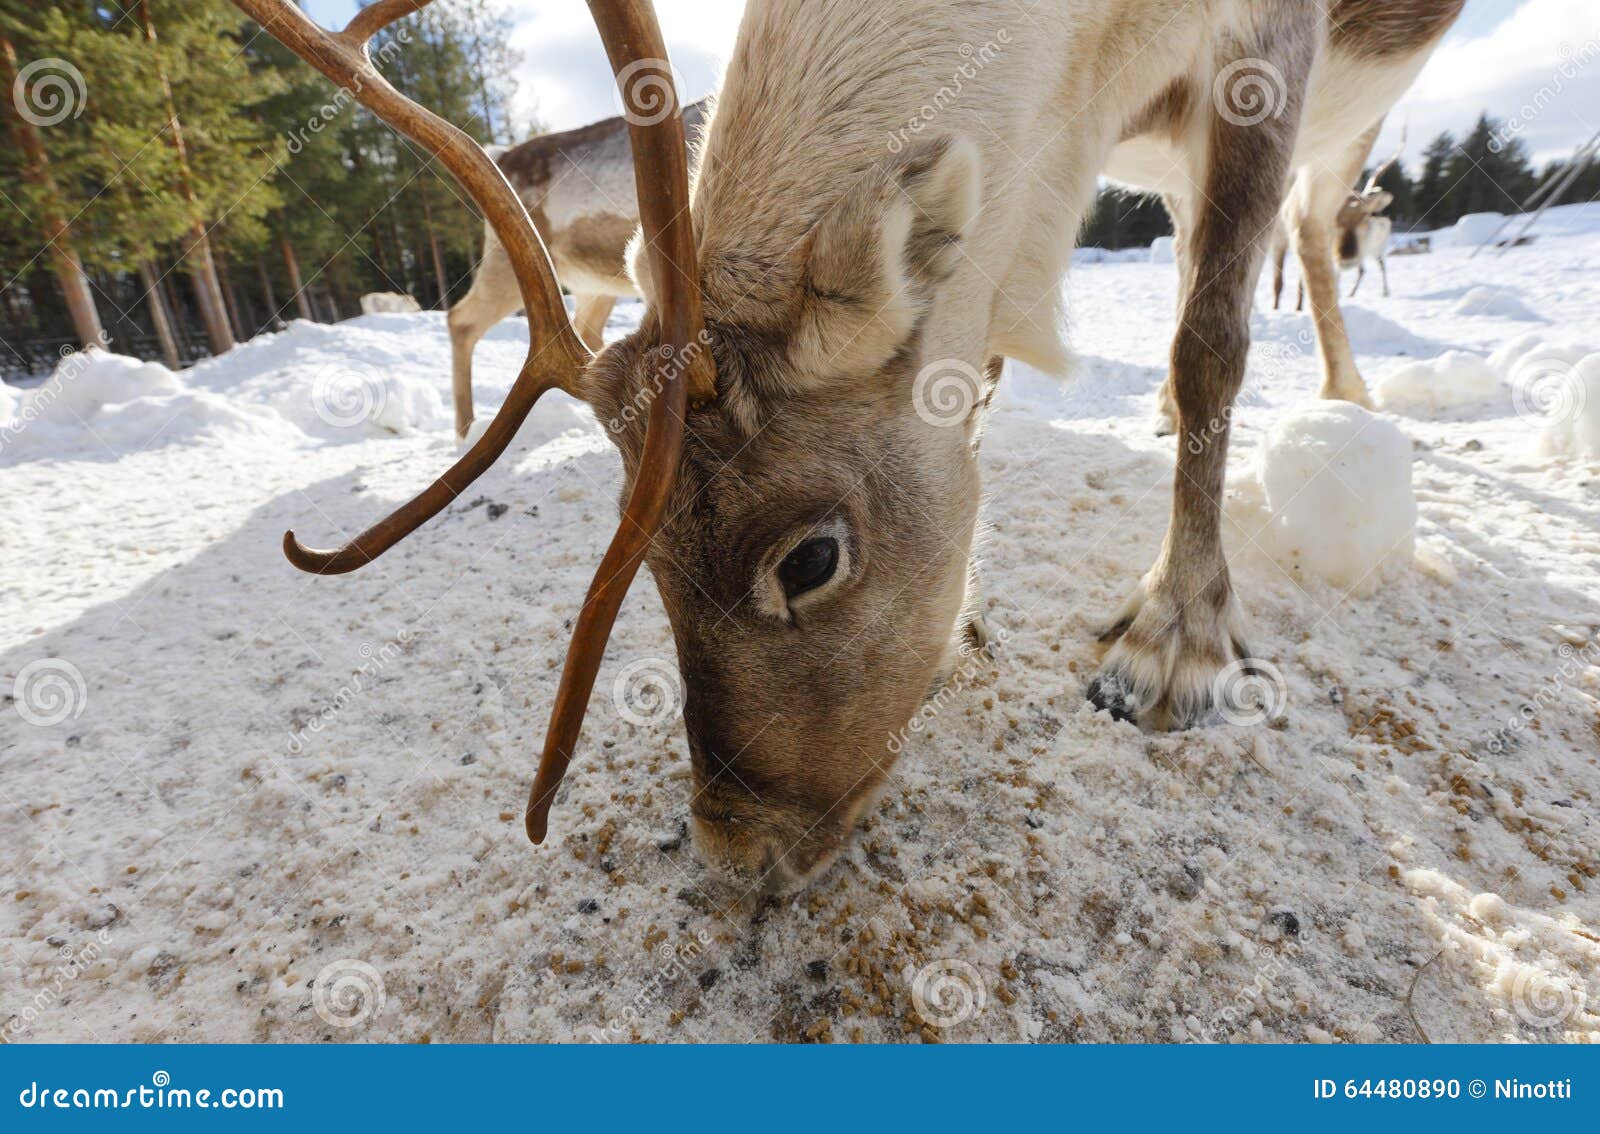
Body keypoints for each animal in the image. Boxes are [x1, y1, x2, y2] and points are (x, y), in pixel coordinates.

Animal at [446, 100, 709, 442]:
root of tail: (502, 155)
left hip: (593, 284)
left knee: (586, 332)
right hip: (506, 260)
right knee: (461, 319)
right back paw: (464, 432)